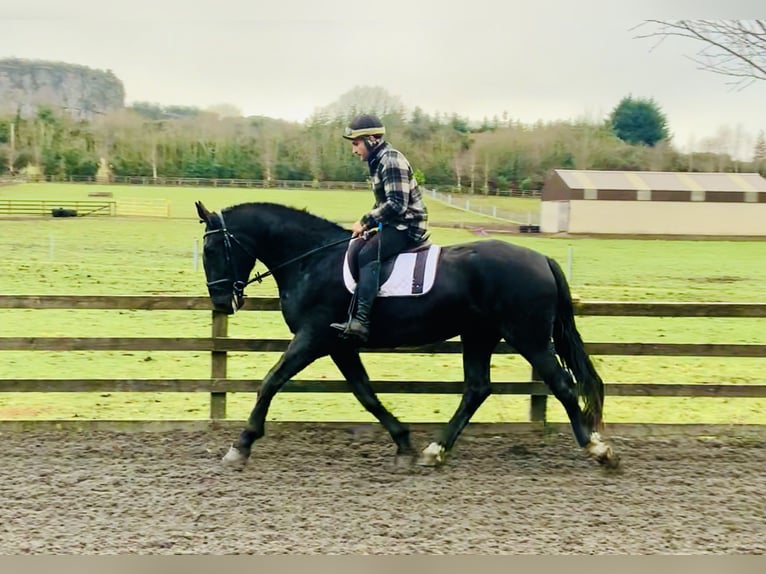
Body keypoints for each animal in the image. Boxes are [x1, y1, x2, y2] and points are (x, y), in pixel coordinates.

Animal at [195, 200, 620, 470]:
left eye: (213, 249)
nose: (221, 302)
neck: (312, 259)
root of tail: (542, 258)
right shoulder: (339, 346)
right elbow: (366, 394)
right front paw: (403, 443)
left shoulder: (313, 338)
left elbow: (271, 382)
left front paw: (241, 446)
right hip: (479, 335)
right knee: (477, 388)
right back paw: (435, 450)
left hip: (528, 337)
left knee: (562, 385)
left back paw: (598, 450)